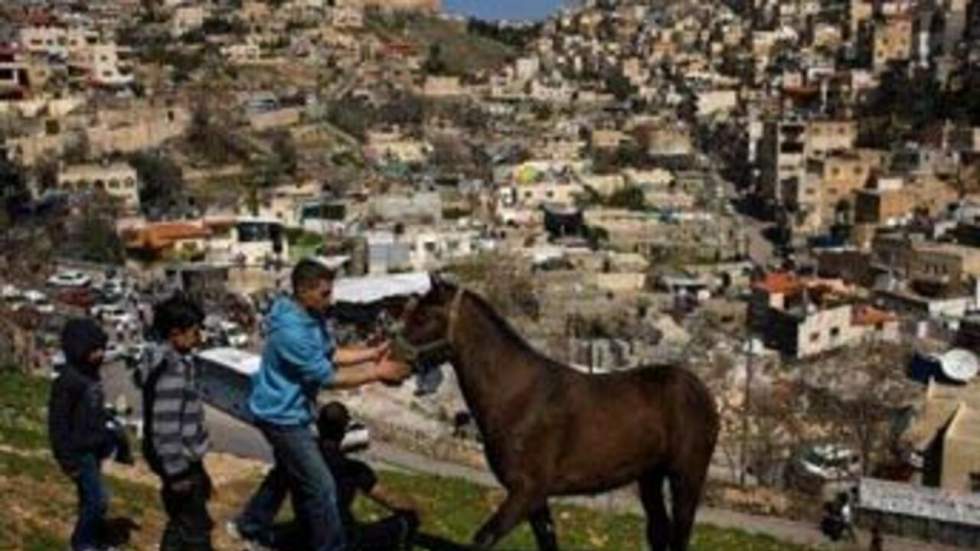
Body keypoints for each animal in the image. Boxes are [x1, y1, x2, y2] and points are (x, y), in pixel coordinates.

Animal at [390, 278, 720, 548]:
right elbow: (547, 540)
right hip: (650, 477)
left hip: (686, 476)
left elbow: (484, 537)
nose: (391, 355)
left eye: (424, 316)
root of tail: (700, 388)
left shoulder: (526, 492)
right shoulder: (534, 499)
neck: (516, 395)